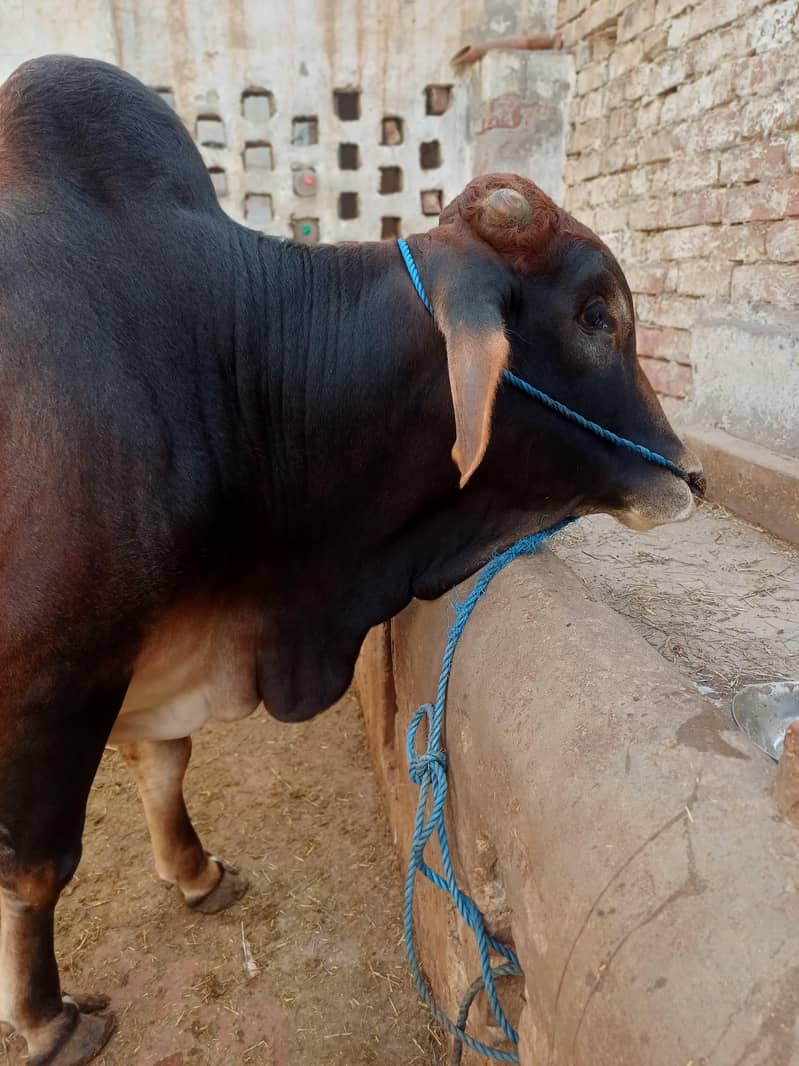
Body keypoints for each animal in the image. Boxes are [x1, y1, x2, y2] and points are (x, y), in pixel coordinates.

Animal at [0, 54, 704, 1066]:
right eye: (597, 313)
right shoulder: (54, 679)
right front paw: (49, 1019)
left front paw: (196, 872)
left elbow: (164, 761)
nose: (690, 474)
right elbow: (38, 867)